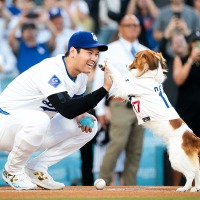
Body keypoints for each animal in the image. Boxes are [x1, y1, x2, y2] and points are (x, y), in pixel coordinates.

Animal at [99, 49, 200, 192]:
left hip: (176, 158)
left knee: (191, 173)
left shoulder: (126, 87)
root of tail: (192, 138)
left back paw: (184, 189)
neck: (148, 77)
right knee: (197, 171)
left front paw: (108, 65)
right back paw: (195, 188)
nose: (126, 65)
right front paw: (103, 66)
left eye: (135, 58)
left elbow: (118, 75)